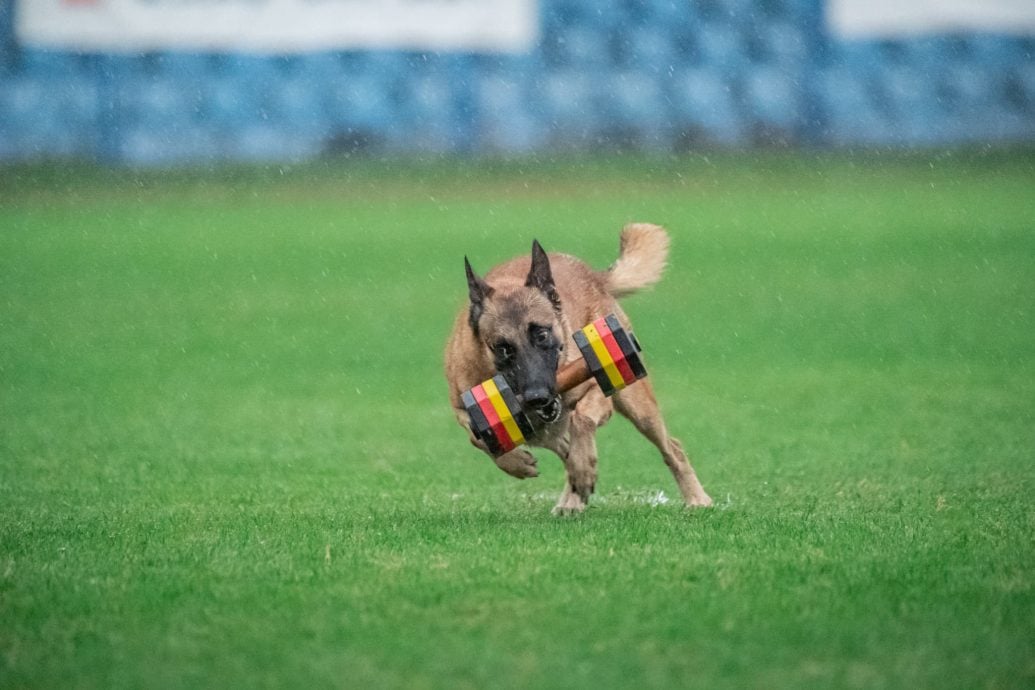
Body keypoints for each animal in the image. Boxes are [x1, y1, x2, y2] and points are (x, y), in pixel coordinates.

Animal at [445, 224, 712, 515]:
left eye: (542, 334)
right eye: (502, 348)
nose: (537, 396)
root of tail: (594, 276)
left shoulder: (597, 391)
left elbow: (581, 420)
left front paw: (583, 469)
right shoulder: (462, 408)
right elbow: (478, 438)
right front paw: (518, 464)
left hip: (638, 405)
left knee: (672, 448)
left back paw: (696, 498)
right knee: (561, 446)